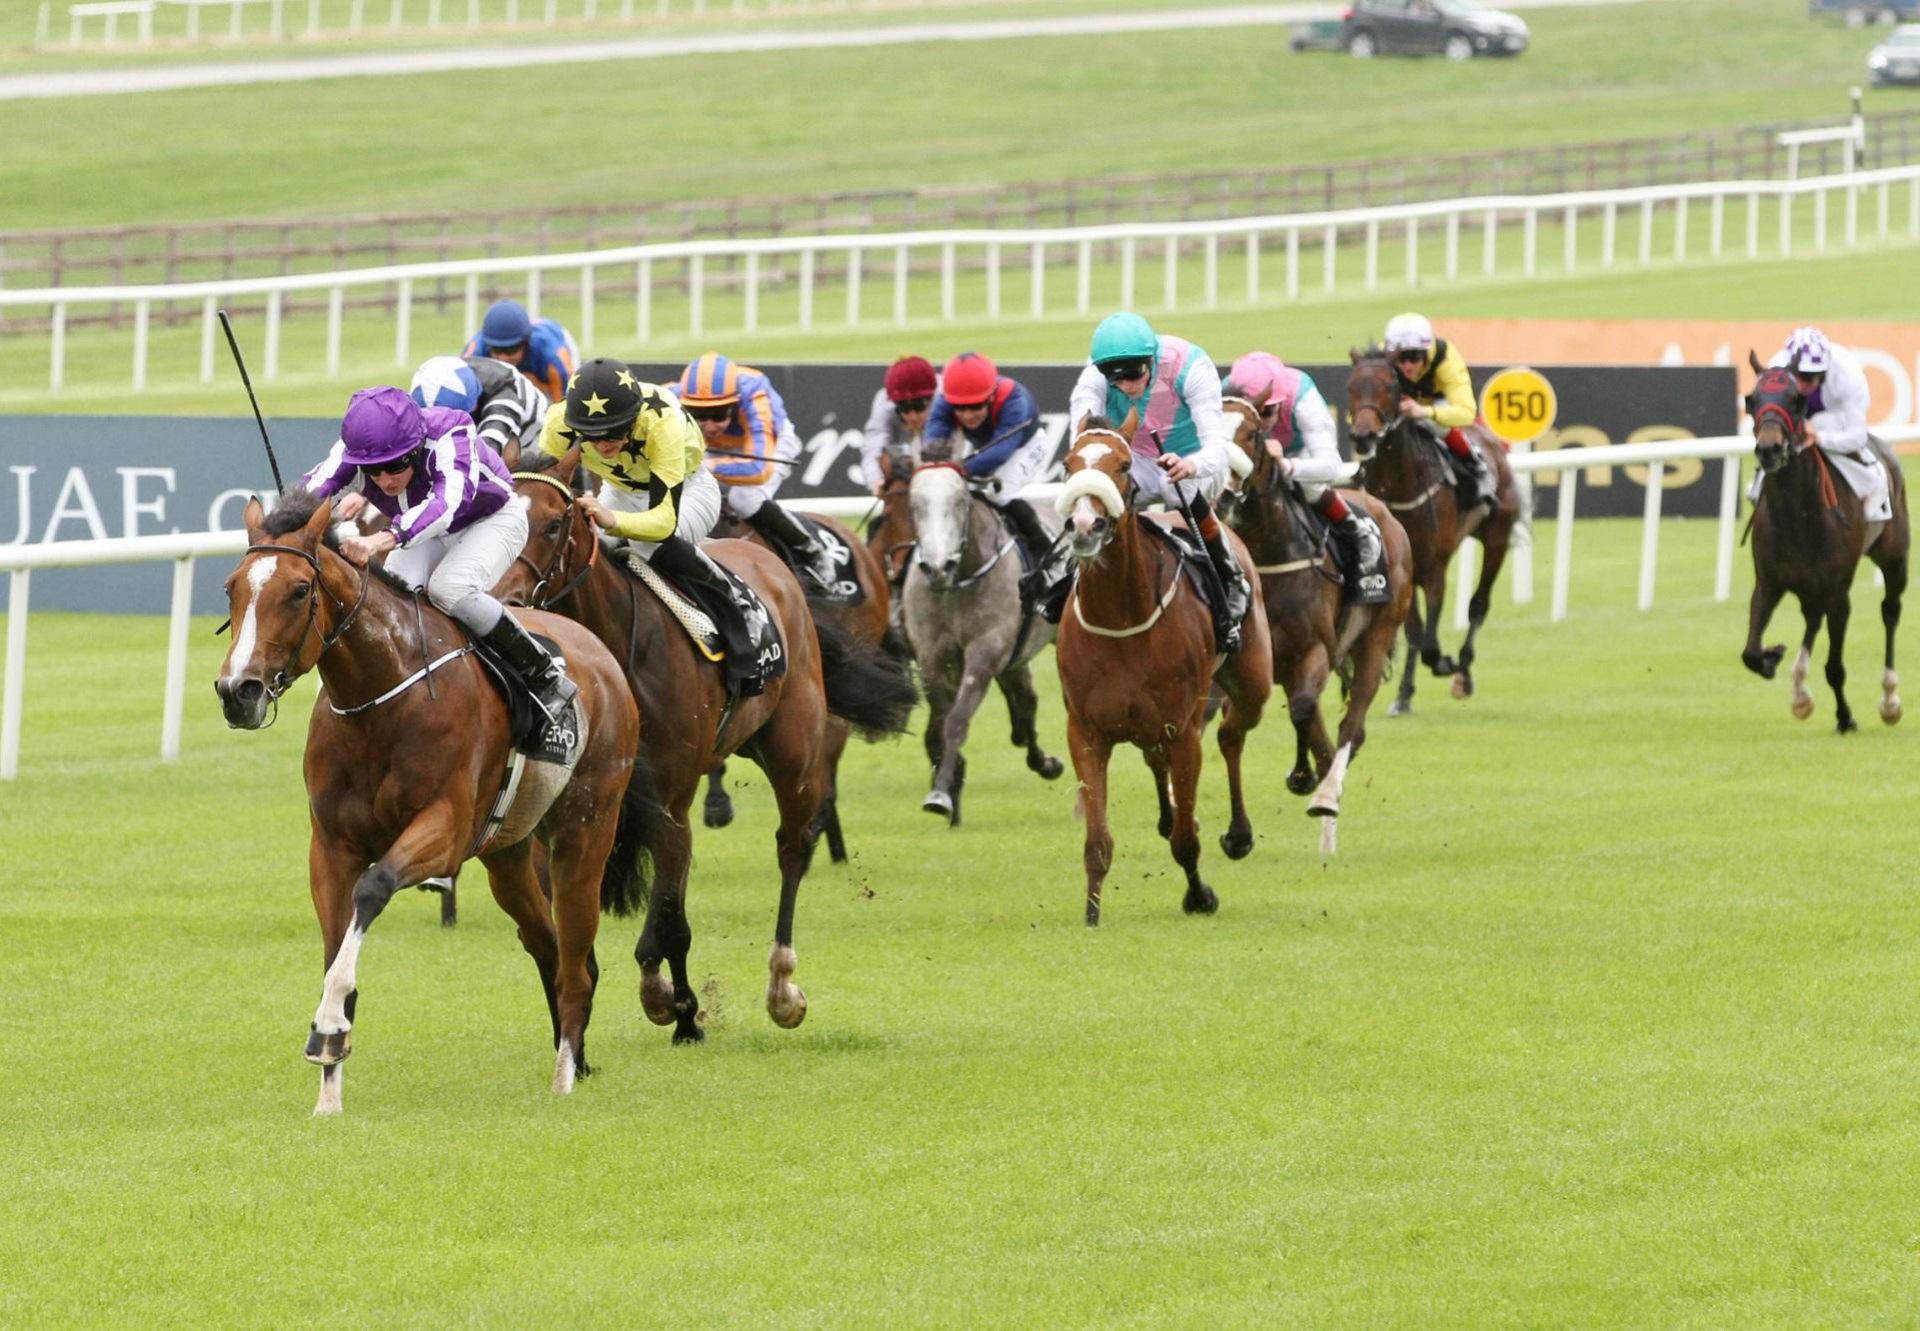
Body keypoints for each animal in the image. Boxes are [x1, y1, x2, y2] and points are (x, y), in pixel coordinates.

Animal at [898, 464, 1067, 822]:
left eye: (960, 502)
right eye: (914, 505)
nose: (937, 567)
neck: (959, 582)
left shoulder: (984, 653)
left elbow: (956, 722)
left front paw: (940, 794)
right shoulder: (933, 658)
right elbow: (936, 729)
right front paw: (949, 784)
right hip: (1015, 659)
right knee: (1026, 703)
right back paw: (1041, 759)